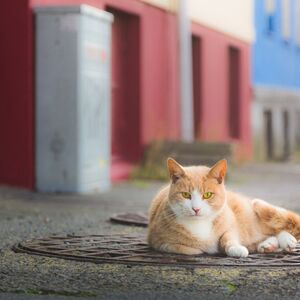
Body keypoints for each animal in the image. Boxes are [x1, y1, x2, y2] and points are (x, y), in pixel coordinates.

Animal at [148, 157, 300, 258]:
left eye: (208, 195)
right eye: (186, 195)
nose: (196, 209)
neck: (199, 224)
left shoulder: (231, 226)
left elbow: (228, 238)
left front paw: (236, 249)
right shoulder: (158, 242)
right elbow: (185, 248)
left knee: (273, 228)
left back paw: (285, 240)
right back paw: (269, 245)